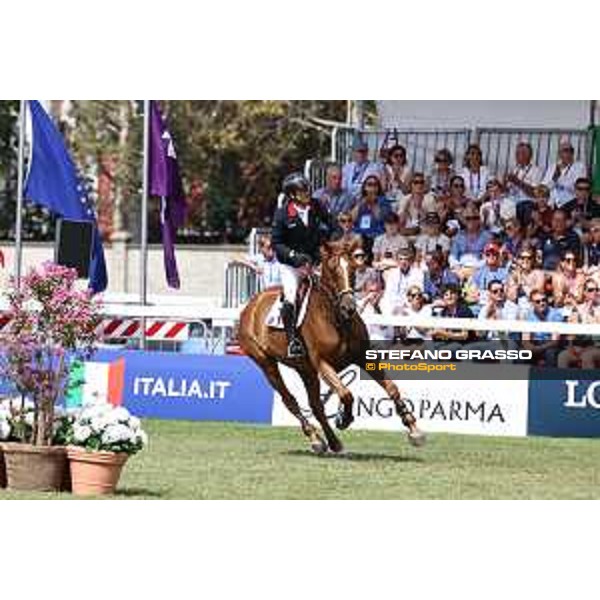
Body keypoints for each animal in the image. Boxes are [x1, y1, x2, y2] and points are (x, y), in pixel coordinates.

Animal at [237, 241, 424, 452]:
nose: (349, 308)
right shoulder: (322, 363)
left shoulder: (363, 357)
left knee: (315, 404)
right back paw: (315, 438)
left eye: (353, 268)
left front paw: (414, 430)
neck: (336, 318)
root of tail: (250, 306)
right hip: (266, 362)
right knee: (290, 400)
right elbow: (346, 393)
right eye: (333, 270)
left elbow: (392, 388)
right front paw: (344, 418)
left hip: (305, 369)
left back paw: (332, 441)